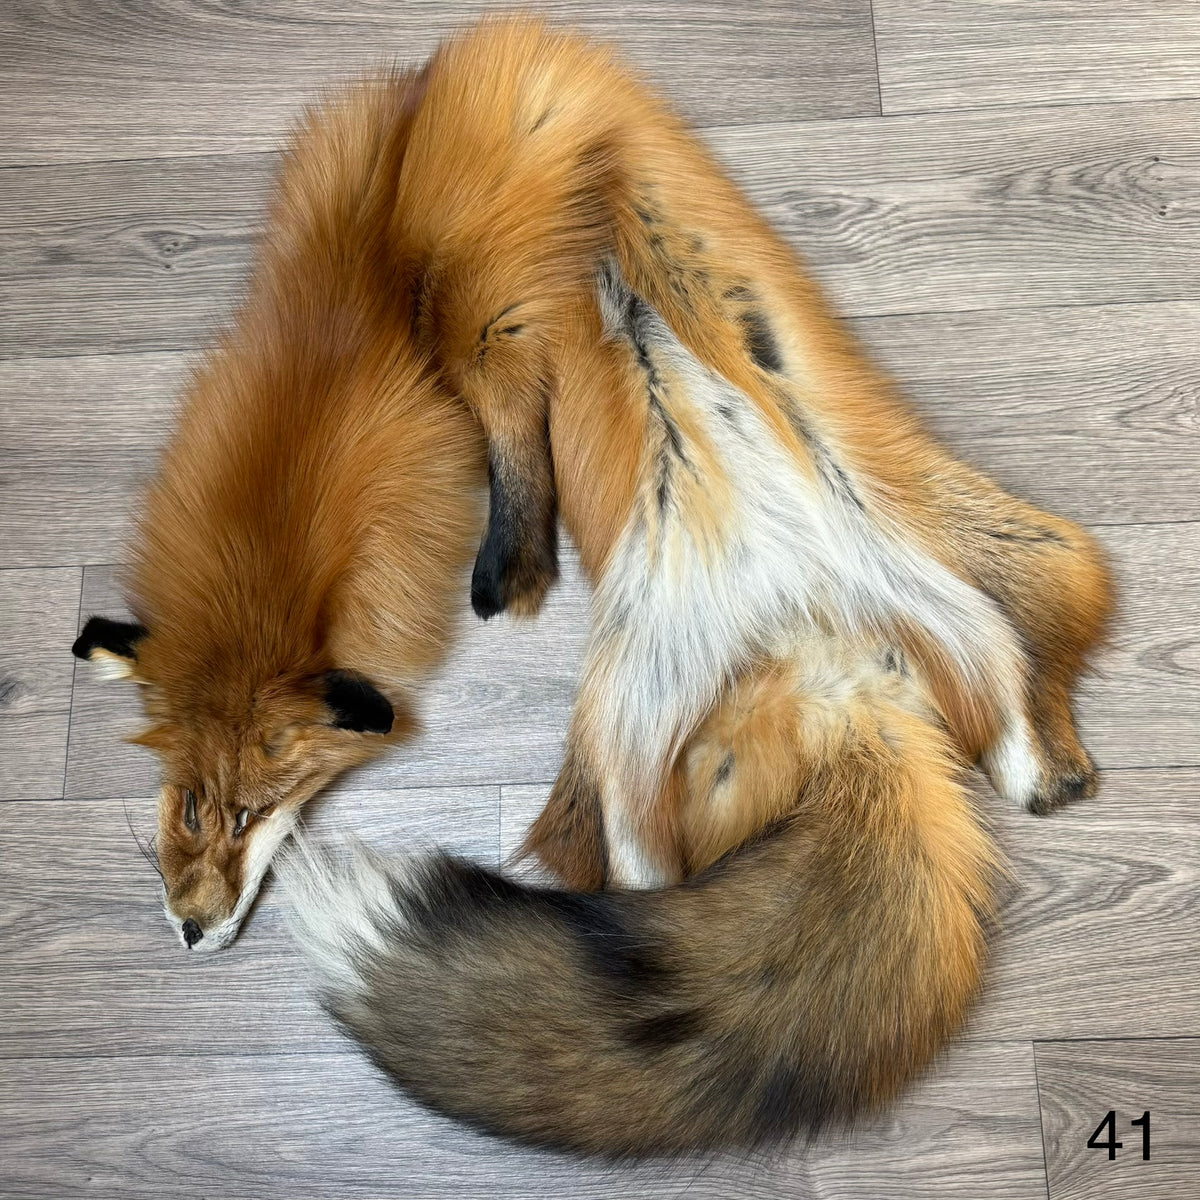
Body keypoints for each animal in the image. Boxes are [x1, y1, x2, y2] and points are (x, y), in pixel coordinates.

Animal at [279, 18, 1113, 1157]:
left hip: (789, 623)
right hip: (795, 646)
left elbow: (505, 399)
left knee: (627, 864)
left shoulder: (498, 263)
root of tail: (838, 682)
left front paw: (512, 546)